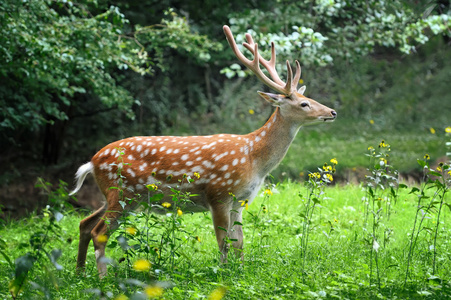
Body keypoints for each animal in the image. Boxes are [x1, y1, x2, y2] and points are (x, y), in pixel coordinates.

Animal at [70, 25, 338, 276]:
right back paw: (102, 278)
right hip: (123, 191)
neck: (253, 158)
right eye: (304, 104)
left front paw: (240, 272)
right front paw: (223, 274)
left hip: (118, 196)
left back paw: (80, 273)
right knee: (99, 231)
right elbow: (223, 242)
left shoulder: (240, 200)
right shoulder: (218, 193)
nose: (332, 112)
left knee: (85, 223)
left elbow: (240, 242)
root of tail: (92, 162)